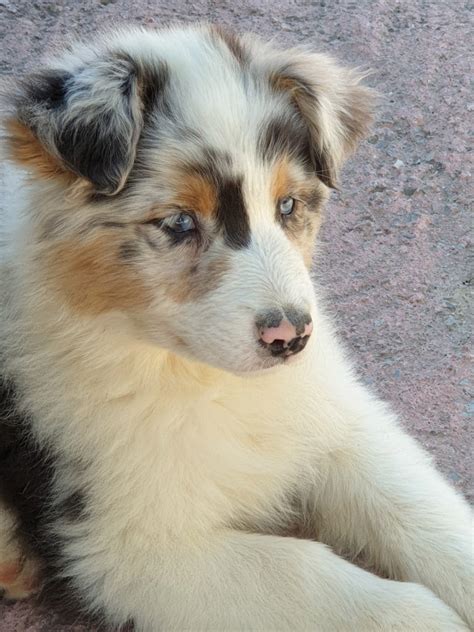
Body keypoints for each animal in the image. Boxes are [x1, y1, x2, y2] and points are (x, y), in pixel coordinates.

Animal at [0, 23, 472, 632]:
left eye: (288, 205)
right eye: (179, 222)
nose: (290, 338)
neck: (201, 380)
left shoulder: (338, 421)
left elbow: (416, 507)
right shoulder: (124, 547)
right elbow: (303, 570)